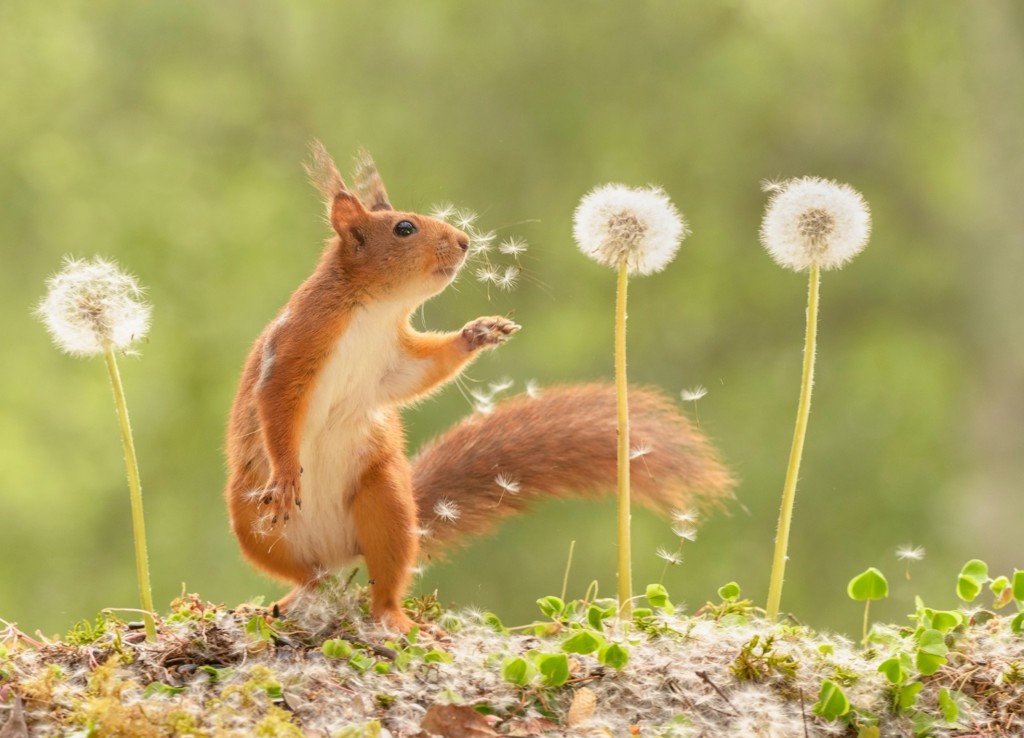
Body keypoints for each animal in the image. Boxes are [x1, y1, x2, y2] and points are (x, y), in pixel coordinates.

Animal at [226, 145, 737, 634]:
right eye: (404, 228)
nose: (465, 241)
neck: (373, 310)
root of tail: (339, 552)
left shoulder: (391, 361)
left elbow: (417, 373)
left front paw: (479, 332)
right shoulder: (293, 349)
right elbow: (276, 406)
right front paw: (287, 475)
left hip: (386, 501)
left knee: (379, 578)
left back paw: (391, 617)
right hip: (254, 526)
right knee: (307, 574)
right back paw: (289, 599)